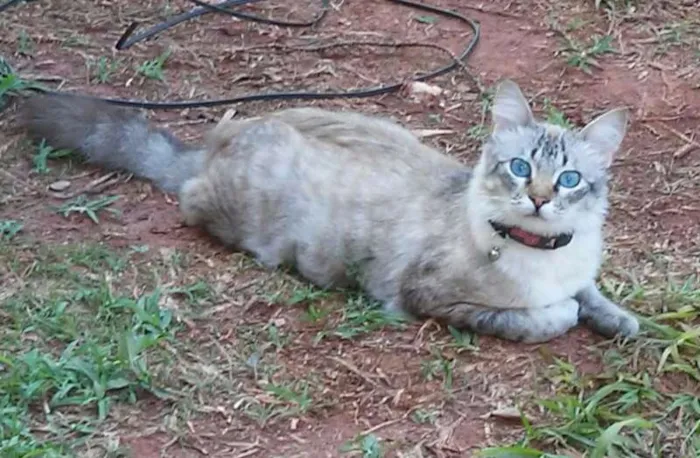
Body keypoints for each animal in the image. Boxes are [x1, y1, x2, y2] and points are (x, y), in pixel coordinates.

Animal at [21, 79, 644, 344]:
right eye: (519, 168)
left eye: (568, 179)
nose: (538, 198)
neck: (540, 252)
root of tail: (221, 139)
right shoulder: (435, 299)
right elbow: (544, 318)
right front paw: (564, 314)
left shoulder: (579, 270)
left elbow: (595, 297)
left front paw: (620, 322)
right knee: (189, 199)